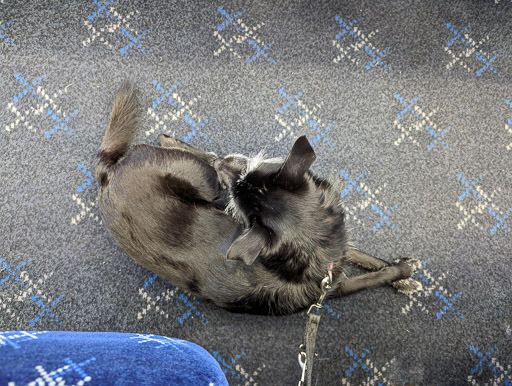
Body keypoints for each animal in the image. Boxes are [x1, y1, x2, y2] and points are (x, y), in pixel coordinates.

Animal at [95, 83, 420, 316]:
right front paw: (401, 272)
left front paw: (403, 278)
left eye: (257, 168)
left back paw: (175, 141)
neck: (313, 248)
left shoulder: (337, 248)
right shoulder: (334, 288)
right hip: (203, 180)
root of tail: (107, 173)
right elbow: (368, 278)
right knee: (200, 156)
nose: (226, 164)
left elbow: (362, 256)